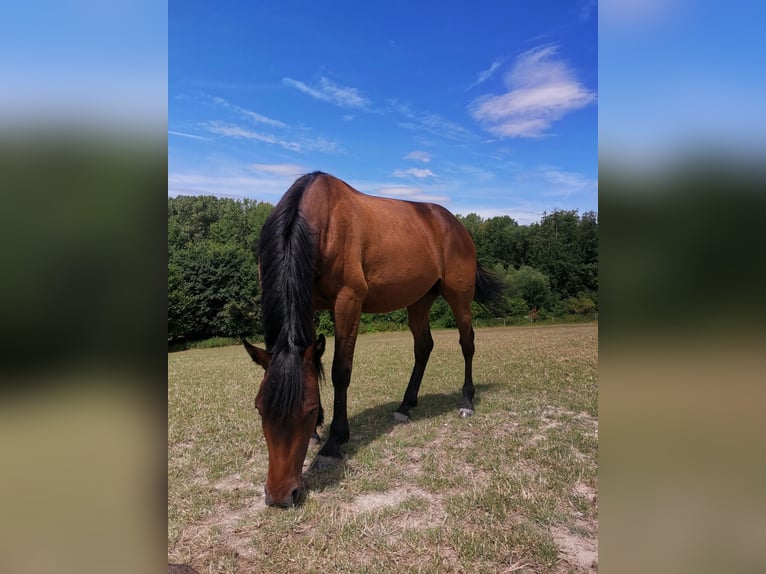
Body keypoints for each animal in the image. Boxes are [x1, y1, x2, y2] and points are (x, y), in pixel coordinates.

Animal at [244, 172, 504, 508]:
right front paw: (317, 435)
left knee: (467, 343)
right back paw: (406, 406)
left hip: (459, 296)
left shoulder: (348, 301)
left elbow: (341, 372)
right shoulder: (309, 304)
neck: (321, 223)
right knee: (424, 346)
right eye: (260, 409)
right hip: (419, 300)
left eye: (308, 410)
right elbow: (314, 366)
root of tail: (455, 224)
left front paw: (333, 444)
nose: (279, 496)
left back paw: (466, 402)